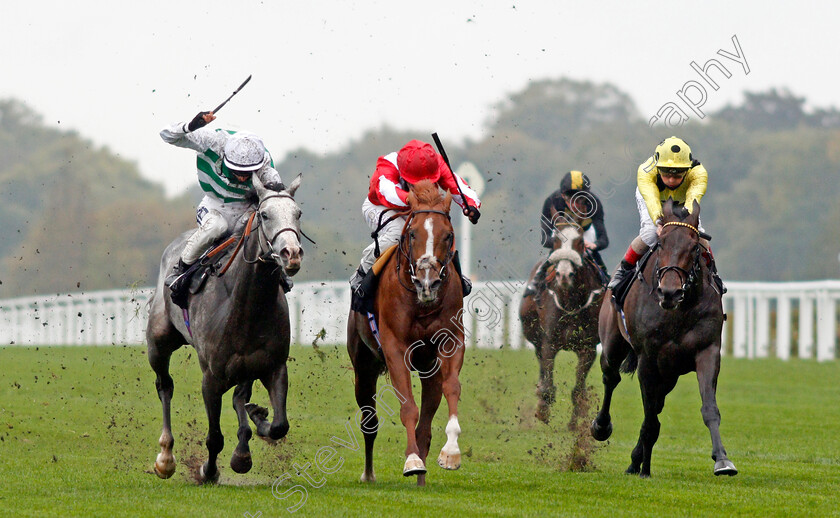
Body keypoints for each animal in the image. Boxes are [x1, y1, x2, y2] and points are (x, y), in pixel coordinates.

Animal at [148, 176, 306, 488]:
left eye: (297, 214)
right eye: (265, 214)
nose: (291, 254)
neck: (246, 305)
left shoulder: (273, 367)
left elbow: (279, 425)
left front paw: (257, 422)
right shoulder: (211, 378)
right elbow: (214, 437)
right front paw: (207, 471)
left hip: (245, 368)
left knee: (238, 398)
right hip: (158, 344)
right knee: (165, 386)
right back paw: (166, 458)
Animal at [348, 180, 466, 488]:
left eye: (448, 235)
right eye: (413, 234)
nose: (428, 282)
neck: (422, 302)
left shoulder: (451, 341)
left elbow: (452, 388)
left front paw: (451, 452)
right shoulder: (395, 348)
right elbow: (407, 408)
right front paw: (411, 461)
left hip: (428, 369)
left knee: (426, 423)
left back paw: (423, 477)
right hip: (363, 367)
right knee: (369, 422)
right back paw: (369, 473)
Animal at [588, 199, 740, 480]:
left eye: (694, 247)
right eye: (660, 244)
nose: (669, 292)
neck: (678, 311)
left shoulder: (707, 351)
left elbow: (708, 409)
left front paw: (723, 460)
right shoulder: (648, 359)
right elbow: (649, 418)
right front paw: (645, 469)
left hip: (669, 373)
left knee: (656, 403)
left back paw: (636, 460)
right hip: (613, 343)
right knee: (611, 378)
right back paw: (602, 428)